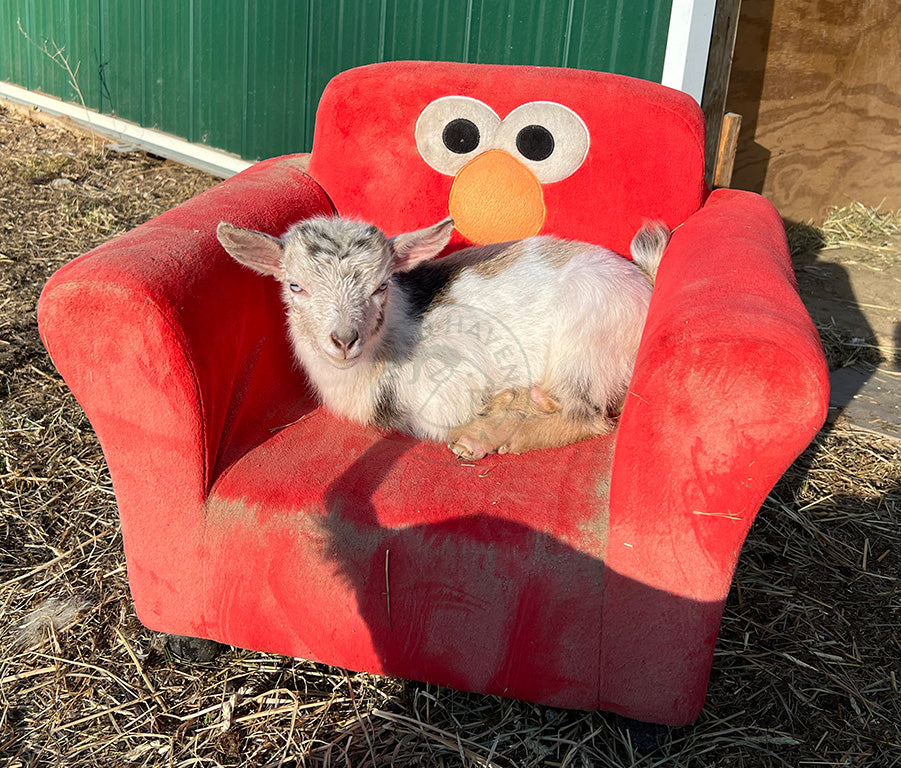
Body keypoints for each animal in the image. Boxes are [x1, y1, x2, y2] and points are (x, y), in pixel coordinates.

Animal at [216, 213, 668, 460]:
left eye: (382, 286)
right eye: (295, 286)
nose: (344, 340)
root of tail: (645, 281)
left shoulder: (454, 369)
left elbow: (452, 410)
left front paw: (486, 424)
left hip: (586, 339)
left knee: (587, 415)